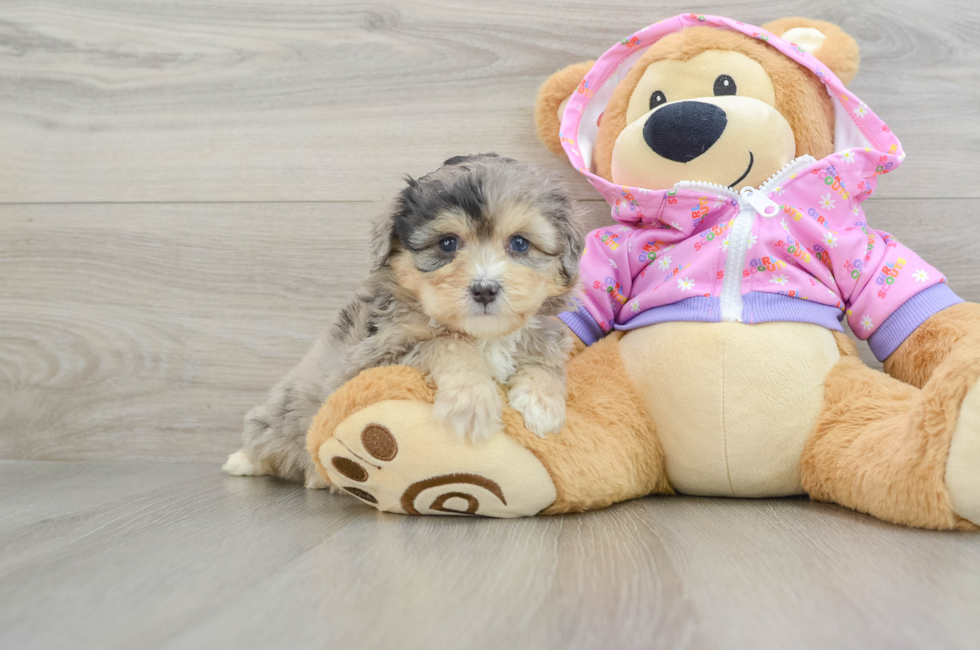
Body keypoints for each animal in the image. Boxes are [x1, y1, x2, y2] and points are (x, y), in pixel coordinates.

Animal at [222, 153, 580, 486]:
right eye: (447, 243)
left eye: (519, 243)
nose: (484, 289)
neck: (482, 334)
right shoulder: (371, 360)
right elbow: (447, 343)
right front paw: (472, 401)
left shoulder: (543, 335)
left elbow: (544, 359)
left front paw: (542, 405)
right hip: (282, 412)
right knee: (266, 437)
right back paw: (243, 461)